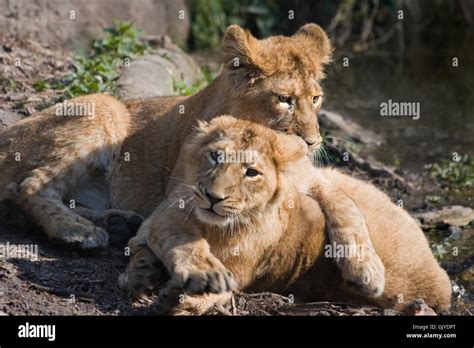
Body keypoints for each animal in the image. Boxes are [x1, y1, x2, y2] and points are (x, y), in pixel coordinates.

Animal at [141, 117, 452, 316]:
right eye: (215, 156)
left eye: (251, 173)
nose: (214, 197)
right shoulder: (171, 209)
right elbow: (182, 241)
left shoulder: (316, 181)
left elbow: (345, 209)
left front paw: (366, 270)